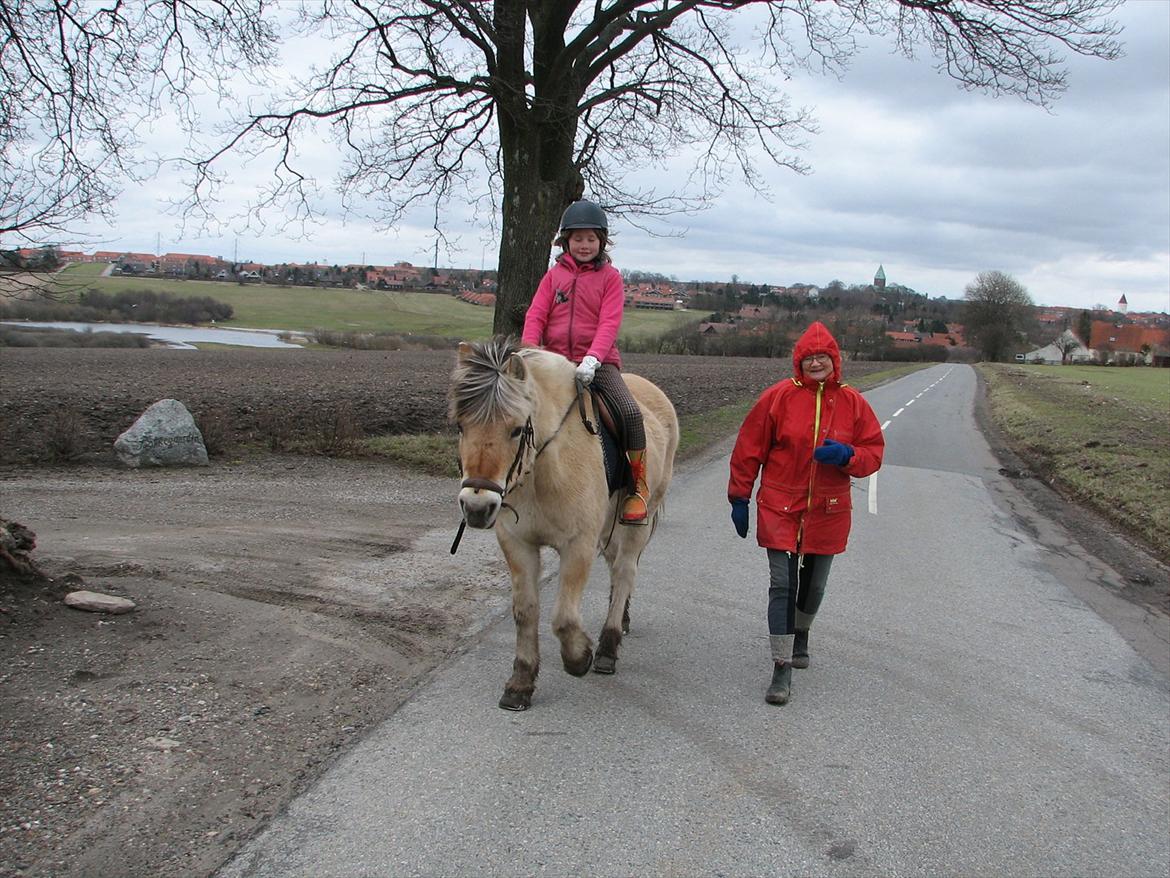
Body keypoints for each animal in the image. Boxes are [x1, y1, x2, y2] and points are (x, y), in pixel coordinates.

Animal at [449, 339, 683, 711]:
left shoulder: (578, 544)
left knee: (624, 570)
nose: (477, 507)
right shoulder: (518, 544)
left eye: (516, 429)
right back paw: (621, 620)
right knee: (616, 567)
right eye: (460, 425)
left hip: (638, 521)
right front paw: (520, 683)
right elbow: (525, 611)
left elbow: (564, 617)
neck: (541, 467)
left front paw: (579, 657)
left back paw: (607, 647)